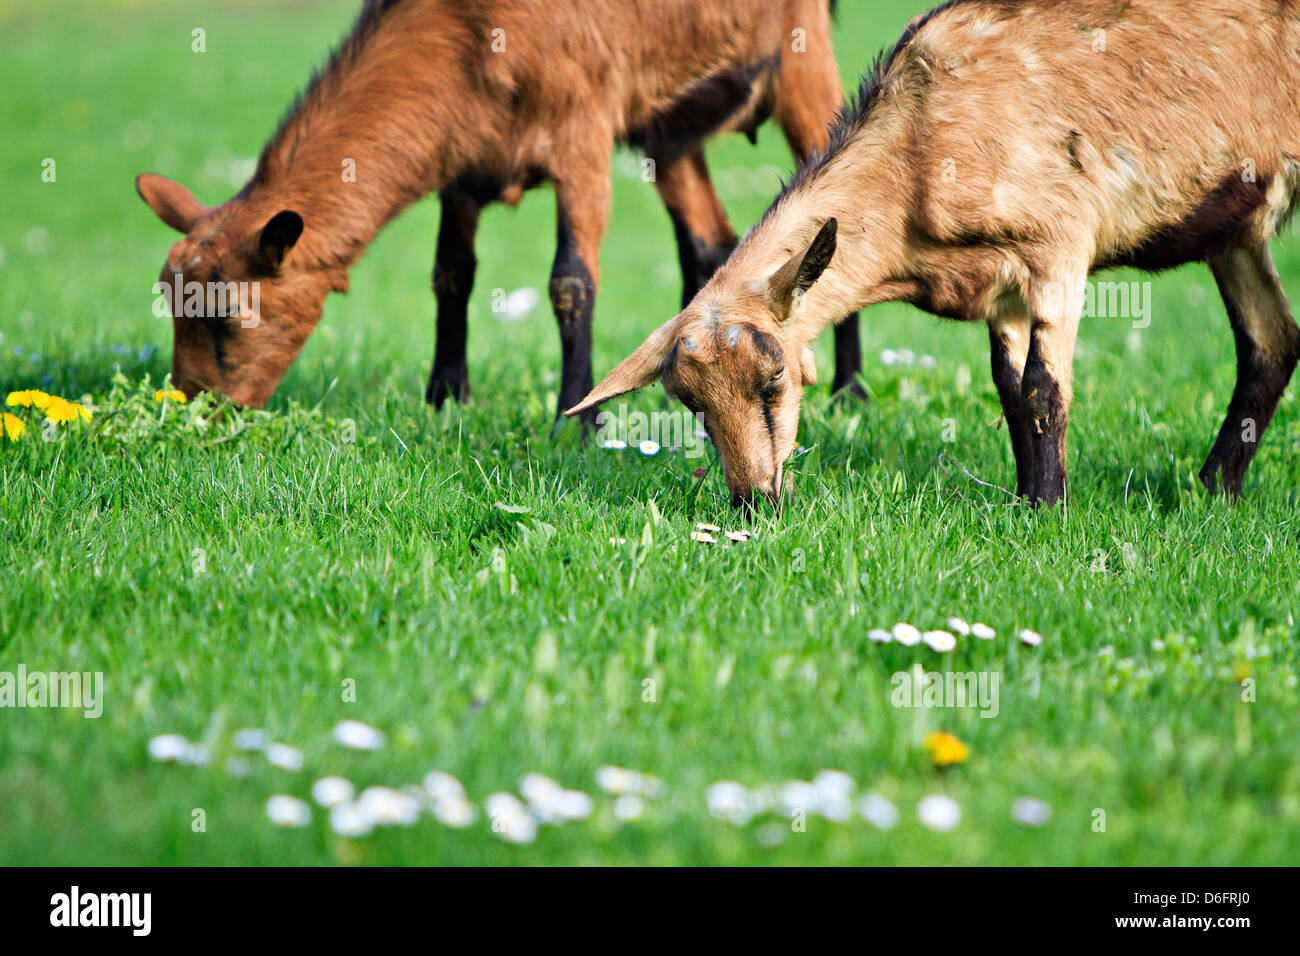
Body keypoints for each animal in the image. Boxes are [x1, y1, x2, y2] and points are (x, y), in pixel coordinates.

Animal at [137, 0, 863, 418]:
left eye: (228, 316)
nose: (196, 408)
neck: (471, 33)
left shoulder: (582, 134)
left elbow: (571, 282)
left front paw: (576, 421)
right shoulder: (463, 163)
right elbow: (451, 276)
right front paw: (444, 399)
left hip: (803, 57)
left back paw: (850, 391)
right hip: (670, 126)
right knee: (708, 241)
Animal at [574, 0, 1300, 509]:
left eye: (775, 380)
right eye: (692, 406)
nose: (754, 503)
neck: (919, 151)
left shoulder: (1060, 243)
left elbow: (1043, 388)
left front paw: (1048, 511)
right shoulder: (999, 284)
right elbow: (1009, 389)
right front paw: (1022, 500)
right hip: (1235, 229)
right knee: (1272, 339)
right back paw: (1211, 492)